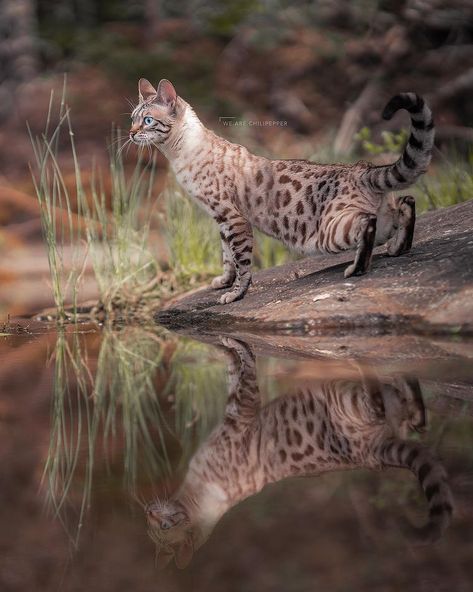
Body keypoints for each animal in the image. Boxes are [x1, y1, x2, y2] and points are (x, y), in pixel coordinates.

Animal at [128, 77, 432, 306]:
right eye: (132, 119)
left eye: (147, 121)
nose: (130, 133)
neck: (179, 155)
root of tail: (362, 168)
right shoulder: (221, 221)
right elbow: (226, 258)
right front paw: (223, 283)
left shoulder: (233, 219)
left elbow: (242, 263)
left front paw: (235, 294)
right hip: (378, 219)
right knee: (406, 202)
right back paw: (397, 248)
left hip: (328, 234)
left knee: (369, 222)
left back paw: (356, 269)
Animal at [146, 336, 452, 568]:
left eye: (162, 528)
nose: (148, 510)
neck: (198, 495)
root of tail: (374, 453)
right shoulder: (240, 412)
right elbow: (241, 367)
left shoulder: (237, 410)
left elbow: (237, 366)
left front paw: (225, 344)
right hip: (351, 400)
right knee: (395, 408)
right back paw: (380, 370)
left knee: (410, 413)